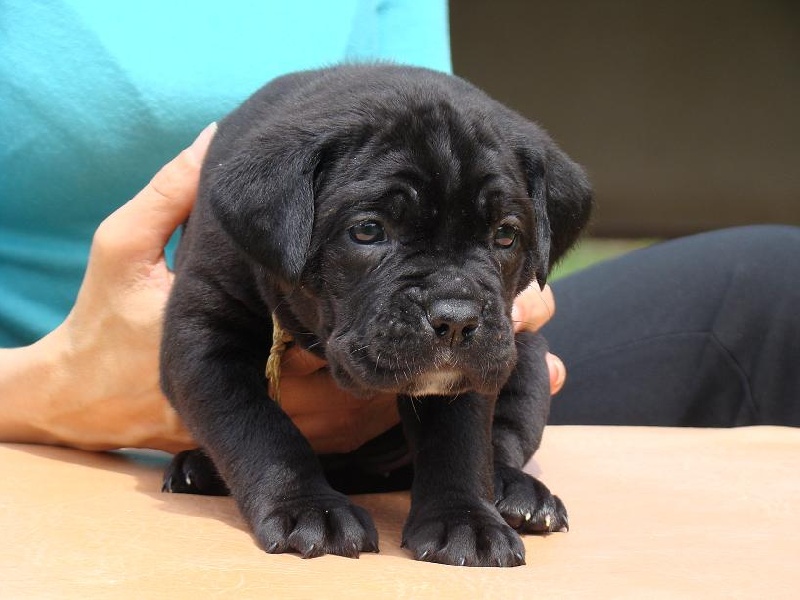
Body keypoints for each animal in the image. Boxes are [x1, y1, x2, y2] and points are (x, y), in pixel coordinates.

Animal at [159, 64, 592, 568]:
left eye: (505, 235)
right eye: (367, 231)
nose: (457, 317)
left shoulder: (470, 372)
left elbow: (460, 440)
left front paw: (466, 521)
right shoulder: (203, 341)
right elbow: (259, 428)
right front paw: (311, 508)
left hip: (526, 352)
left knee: (503, 437)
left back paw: (518, 494)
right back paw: (198, 468)